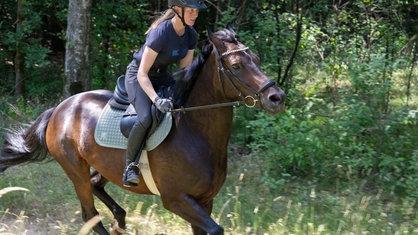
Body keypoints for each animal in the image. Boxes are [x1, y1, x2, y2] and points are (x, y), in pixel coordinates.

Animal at [0, 25, 286, 235]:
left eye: (257, 59)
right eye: (236, 66)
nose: (276, 97)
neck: (194, 134)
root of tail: (61, 107)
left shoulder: (204, 201)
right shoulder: (177, 199)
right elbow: (216, 229)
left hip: (107, 165)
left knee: (96, 186)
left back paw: (120, 220)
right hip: (74, 168)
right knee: (90, 213)